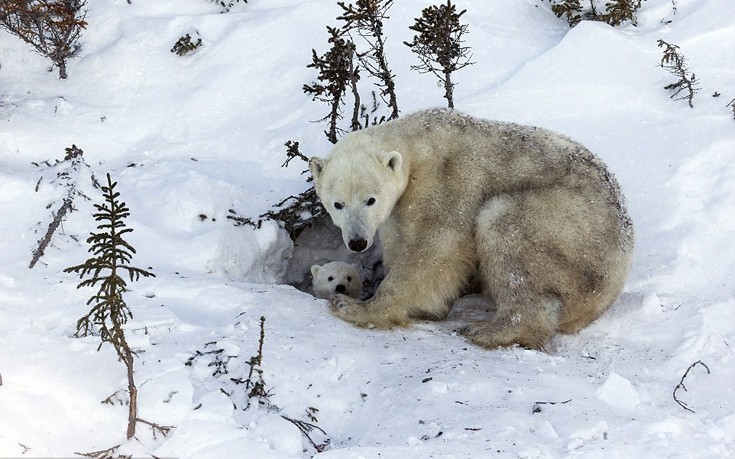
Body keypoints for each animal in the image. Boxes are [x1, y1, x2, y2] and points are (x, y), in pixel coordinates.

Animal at [308, 109, 636, 350]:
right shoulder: (397, 212)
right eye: (338, 204)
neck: (417, 143)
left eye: (370, 199)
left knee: (505, 223)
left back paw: (488, 330)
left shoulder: (446, 183)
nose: (358, 241)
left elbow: (435, 248)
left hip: (572, 227)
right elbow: (400, 241)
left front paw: (358, 307)